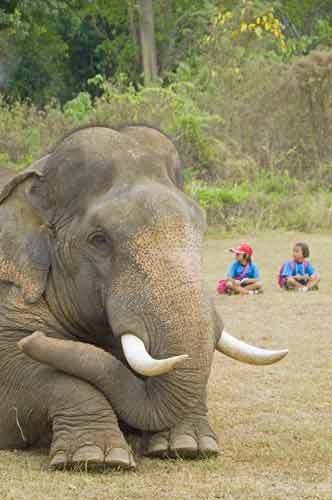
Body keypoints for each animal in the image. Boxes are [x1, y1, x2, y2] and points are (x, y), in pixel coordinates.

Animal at [0, 125, 286, 468]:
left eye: (202, 228)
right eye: (99, 240)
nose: (32, 340)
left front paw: (189, 446)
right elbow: (22, 374)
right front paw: (97, 459)